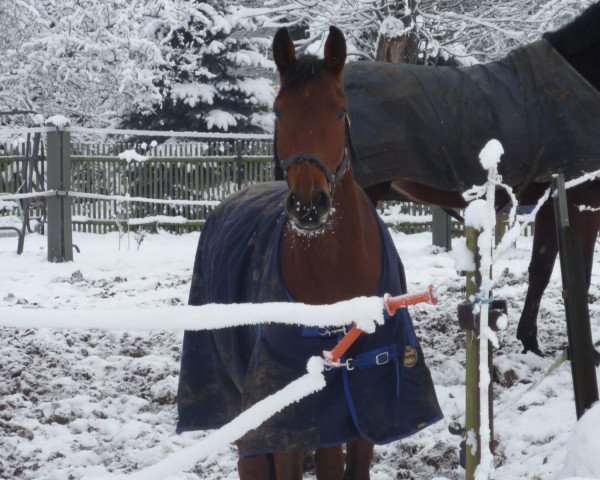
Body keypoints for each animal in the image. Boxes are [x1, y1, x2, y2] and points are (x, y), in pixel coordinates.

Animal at [176, 27, 442, 480]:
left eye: (340, 111)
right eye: (279, 112)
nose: (308, 206)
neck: (336, 276)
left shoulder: (365, 414)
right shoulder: (293, 417)